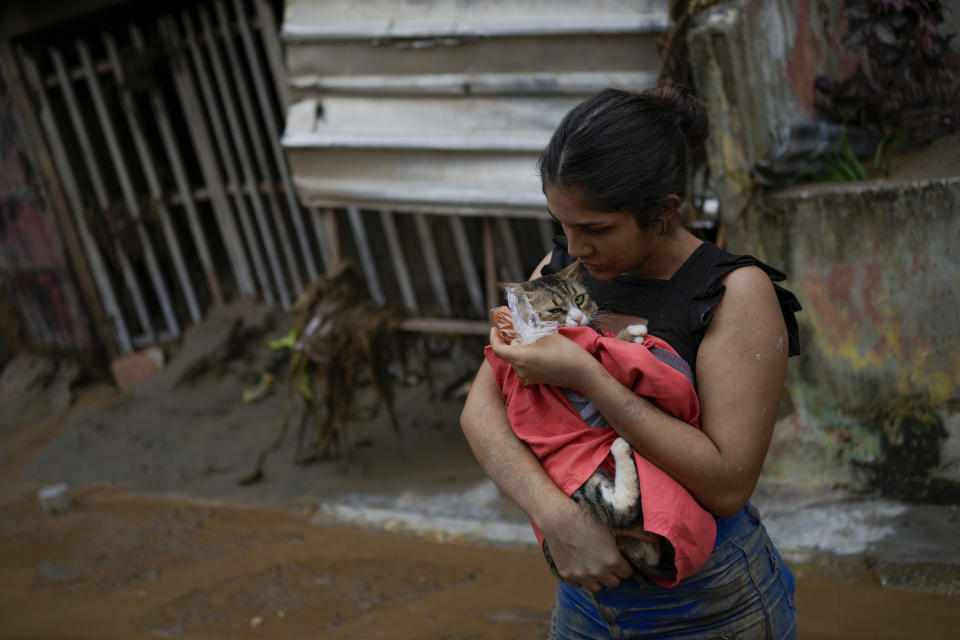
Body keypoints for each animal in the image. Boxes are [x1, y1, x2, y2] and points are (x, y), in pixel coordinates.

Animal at [502, 262, 676, 584]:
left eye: (579, 299)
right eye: (556, 310)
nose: (579, 317)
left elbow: (599, 349)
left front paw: (625, 334)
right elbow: (594, 358)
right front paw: (628, 334)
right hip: (582, 483)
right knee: (622, 510)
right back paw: (620, 449)